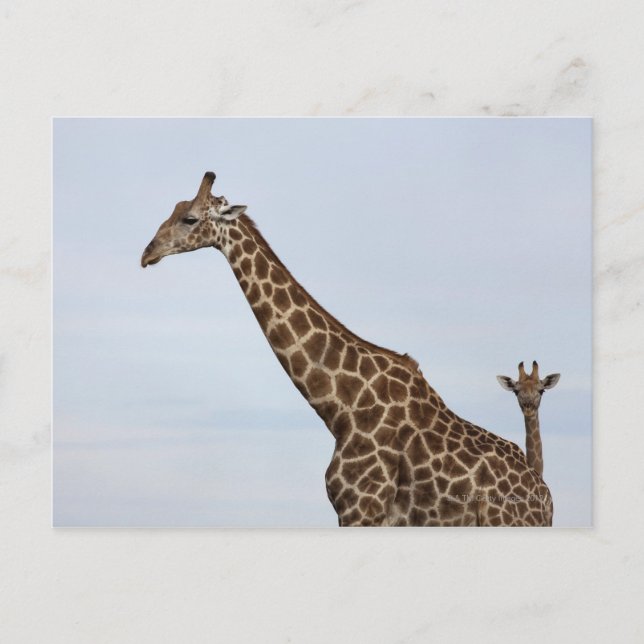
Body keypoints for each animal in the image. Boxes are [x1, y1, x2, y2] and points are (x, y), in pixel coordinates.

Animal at [141, 172, 553, 527]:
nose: (147, 253)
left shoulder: (362, 509)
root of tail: (546, 498)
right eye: (174, 210)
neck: (342, 407)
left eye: (190, 219)